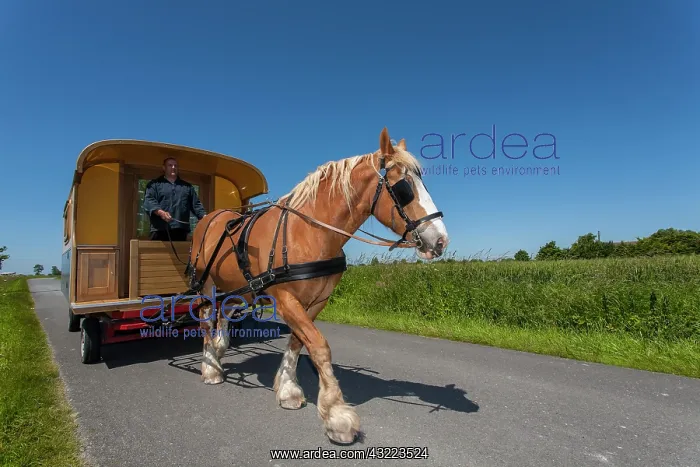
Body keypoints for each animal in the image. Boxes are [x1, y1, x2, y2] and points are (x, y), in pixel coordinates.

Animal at [187, 127, 449, 444]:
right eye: (404, 187)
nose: (440, 240)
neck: (310, 232)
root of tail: (211, 217)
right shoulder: (286, 299)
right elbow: (320, 348)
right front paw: (337, 416)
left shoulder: (316, 301)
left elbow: (299, 343)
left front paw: (288, 389)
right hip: (205, 284)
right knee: (205, 318)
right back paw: (210, 366)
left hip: (238, 288)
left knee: (223, 315)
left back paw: (220, 349)